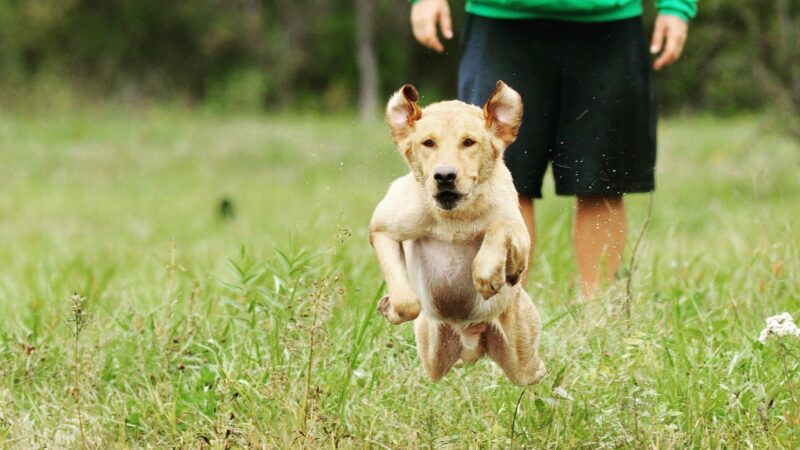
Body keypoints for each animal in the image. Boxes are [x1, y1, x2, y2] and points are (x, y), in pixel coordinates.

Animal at [370, 81, 548, 386]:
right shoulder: (382, 227)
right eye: (428, 143)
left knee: (538, 370)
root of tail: (471, 343)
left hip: (523, 361)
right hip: (432, 355)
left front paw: (489, 274)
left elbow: (499, 228)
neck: (454, 220)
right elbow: (407, 302)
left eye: (469, 142)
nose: (444, 176)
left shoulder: (520, 234)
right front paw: (391, 306)